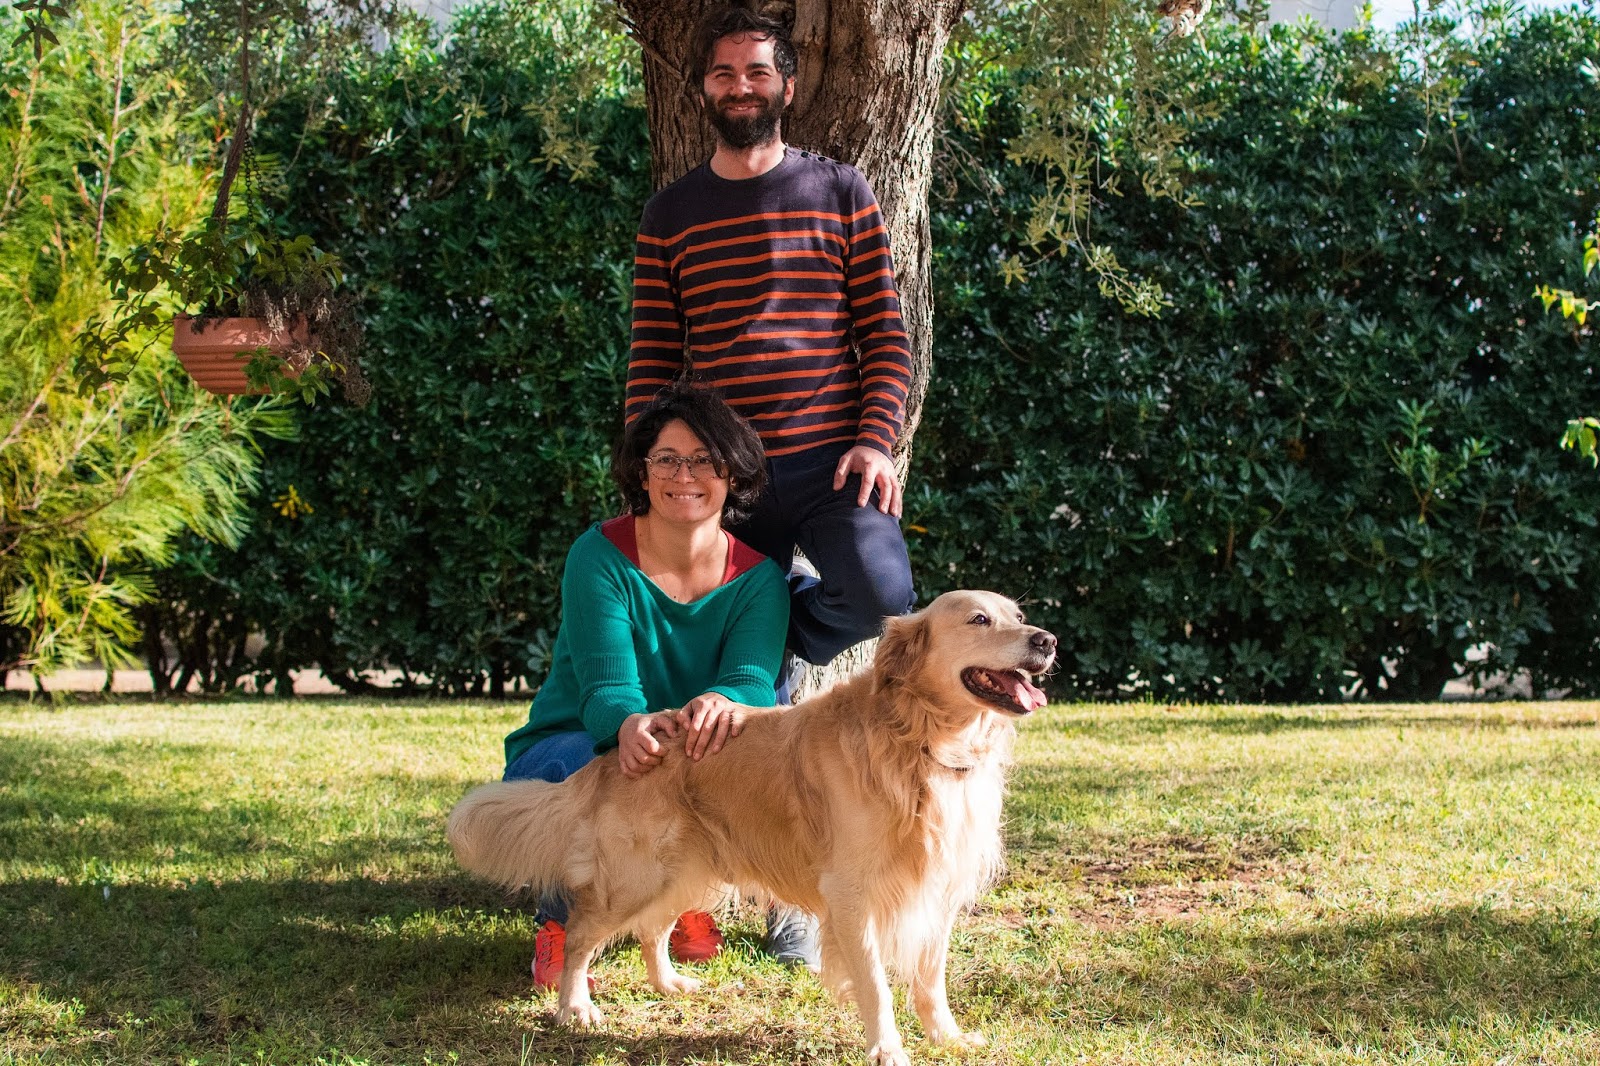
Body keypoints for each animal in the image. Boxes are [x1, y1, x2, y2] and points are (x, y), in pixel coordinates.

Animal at [447, 590, 1056, 1066]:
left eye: (1019, 614)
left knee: (651, 930)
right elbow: (878, 986)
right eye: (979, 619)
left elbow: (931, 980)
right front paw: (888, 1049)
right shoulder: (853, 895)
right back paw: (575, 1007)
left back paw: (670, 984)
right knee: (579, 936)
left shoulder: (938, 888)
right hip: (637, 876)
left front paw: (947, 1037)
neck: (920, 741)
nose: (1047, 640)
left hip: (688, 872)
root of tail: (620, 748)